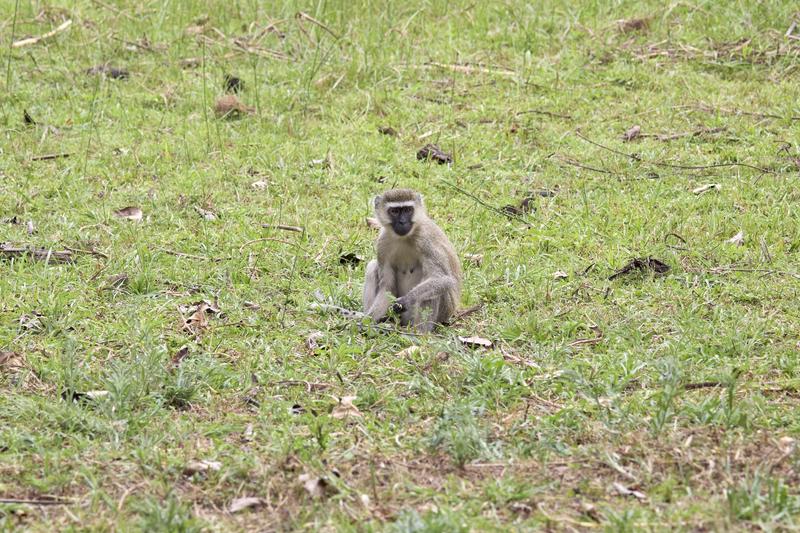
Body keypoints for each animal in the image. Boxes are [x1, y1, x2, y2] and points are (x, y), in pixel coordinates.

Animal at [364, 189, 462, 330]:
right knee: (372, 266)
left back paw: (419, 333)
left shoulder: (426, 241)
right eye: (395, 211)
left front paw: (407, 300)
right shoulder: (382, 244)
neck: (404, 238)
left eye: (408, 210)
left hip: (443, 312)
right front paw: (365, 322)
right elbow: (388, 287)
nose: (402, 222)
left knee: (432, 289)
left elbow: (444, 279)